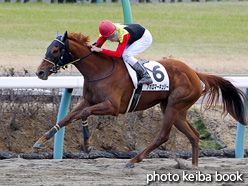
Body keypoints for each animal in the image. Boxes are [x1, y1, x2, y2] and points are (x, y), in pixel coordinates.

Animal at [33, 31, 248, 168]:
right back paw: (194, 167)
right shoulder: (89, 101)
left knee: (163, 136)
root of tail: (194, 73)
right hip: (176, 109)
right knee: (194, 135)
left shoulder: (112, 107)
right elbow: (66, 118)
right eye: (48, 48)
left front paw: (87, 145)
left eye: (55, 50)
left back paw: (133, 160)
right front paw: (41, 140)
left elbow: (83, 115)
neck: (100, 70)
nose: (40, 72)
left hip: (174, 105)